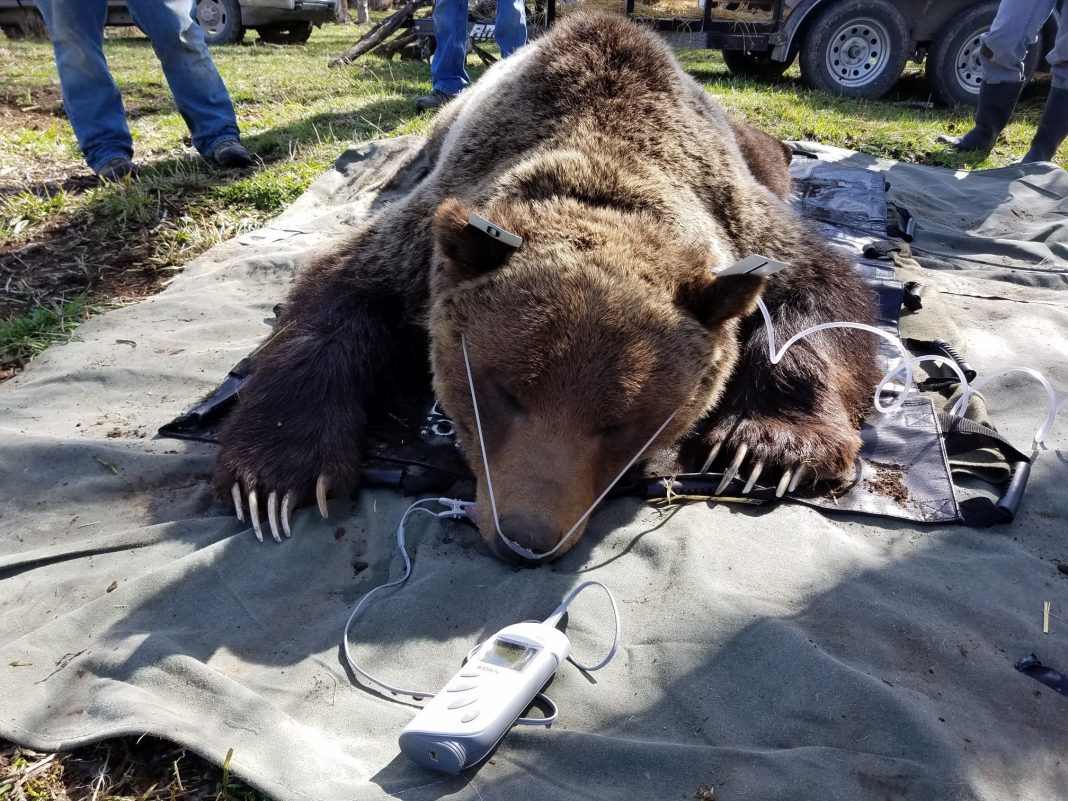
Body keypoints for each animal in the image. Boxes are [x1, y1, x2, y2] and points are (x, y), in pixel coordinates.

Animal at [212, 14, 880, 563]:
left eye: (625, 424)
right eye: (501, 392)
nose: (526, 537)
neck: (605, 165)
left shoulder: (742, 216)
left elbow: (820, 289)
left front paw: (767, 449)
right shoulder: (424, 234)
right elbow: (337, 293)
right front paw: (273, 478)